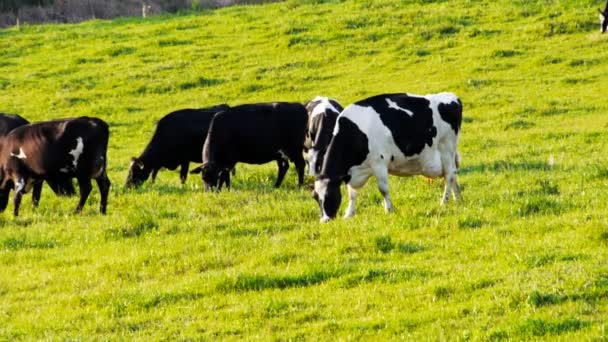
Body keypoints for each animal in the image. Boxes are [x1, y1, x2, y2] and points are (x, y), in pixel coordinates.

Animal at [314, 92, 460, 223]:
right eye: (315, 197)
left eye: (328, 195)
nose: (324, 220)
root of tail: (452, 97)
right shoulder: (352, 172)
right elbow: (352, 193)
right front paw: (349, 214)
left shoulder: (379, 163)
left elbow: (383, 189)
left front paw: (389, 210)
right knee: (452, 174)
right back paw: (458, 198)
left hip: (446, 147)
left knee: (449, 176)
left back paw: (444, 202)